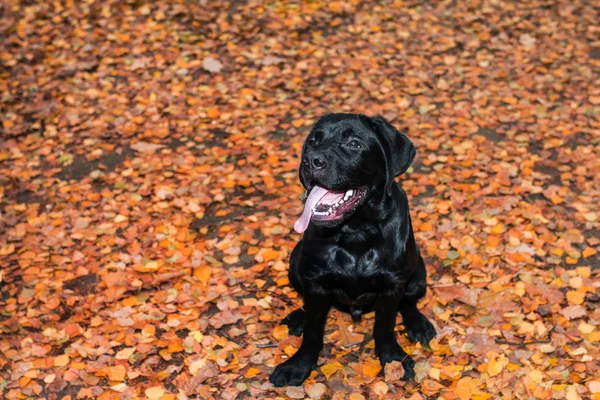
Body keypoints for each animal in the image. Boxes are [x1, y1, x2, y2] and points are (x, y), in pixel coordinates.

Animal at [270, 113, 436, 388]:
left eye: (354, 144)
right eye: (313, 142)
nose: (310, 160)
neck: (355, 233)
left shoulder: (392, 286)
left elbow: (384, 326)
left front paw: (392, 360)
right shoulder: (315, 284)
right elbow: (313, 331)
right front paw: (299, 365)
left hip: (418, 272)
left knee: (409, 302)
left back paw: (418, 324)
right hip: (295, 262)